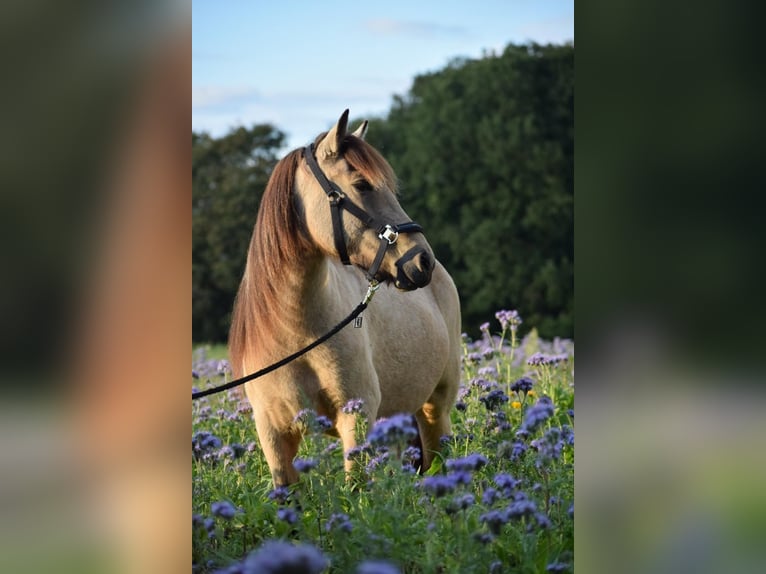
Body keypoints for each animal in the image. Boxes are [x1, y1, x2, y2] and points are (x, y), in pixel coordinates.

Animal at [228, 110, 462, 488]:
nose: (422, 261)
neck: (296, 332)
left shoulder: (357, 416)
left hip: (434, 409)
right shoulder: (273, 434)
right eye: (363, 185)